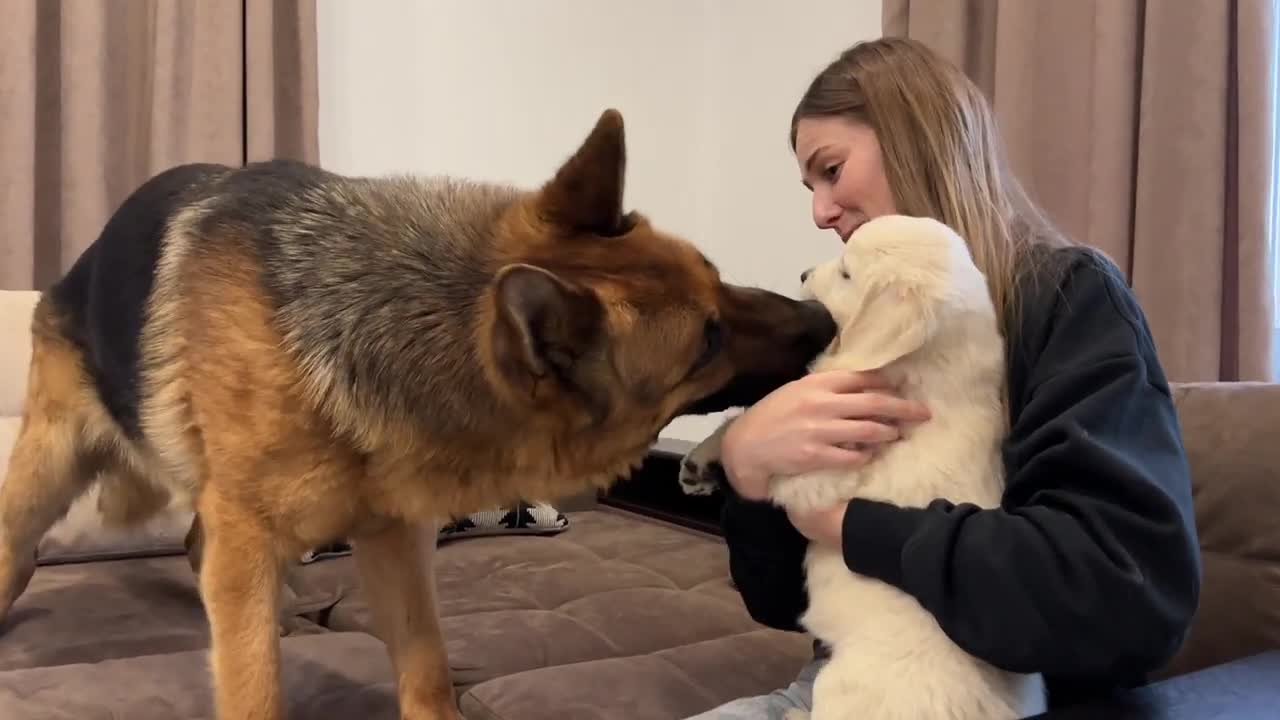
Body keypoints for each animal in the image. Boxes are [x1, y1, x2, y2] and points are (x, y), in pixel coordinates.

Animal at [0, 107, 839, 717]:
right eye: (707, 343)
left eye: (716, 276)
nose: (822, 319)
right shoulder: (257, 538)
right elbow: (252, 686)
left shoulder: (393, 538)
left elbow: (427, 662)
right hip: (48, 469)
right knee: (27, 549)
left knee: (197, 548)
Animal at [680, 213, 1039, 717]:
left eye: (848, 273)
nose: (804, 274)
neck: (920, 371)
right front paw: (701, 461)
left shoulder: (821, 471)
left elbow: (757, 418)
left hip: (849, 684)